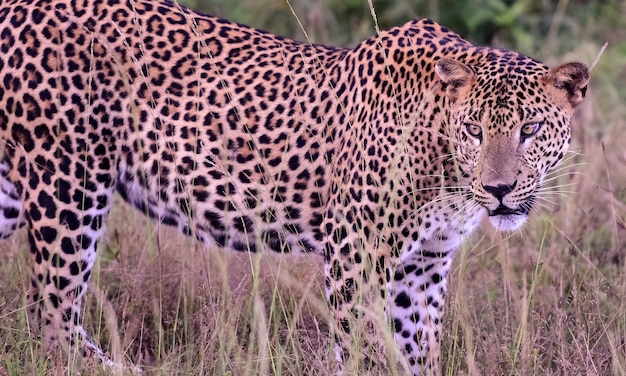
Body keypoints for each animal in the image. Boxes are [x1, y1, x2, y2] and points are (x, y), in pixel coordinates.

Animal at [0, 0, 588, 374]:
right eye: (474, 130)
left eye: (530, 129)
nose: (499, 189)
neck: (444, 165)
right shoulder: (356, 252)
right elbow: (364, 348)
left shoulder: (424, 263)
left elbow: (416, 350)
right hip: (68, 183)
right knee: (50, 312)